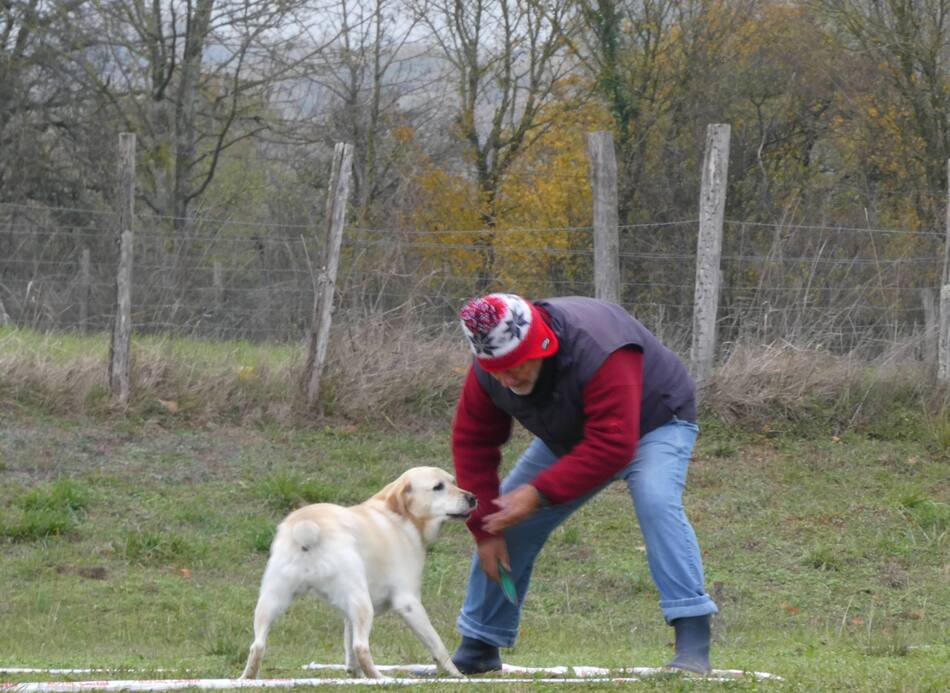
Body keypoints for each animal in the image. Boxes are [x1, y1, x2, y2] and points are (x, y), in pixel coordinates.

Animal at [238, 468, 476, 680]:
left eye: (453, 481)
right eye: (438, 487)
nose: (473, 497)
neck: (398, 517)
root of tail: (307, 527)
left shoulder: (348, 612)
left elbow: (349, 649)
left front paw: (354, 674)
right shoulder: (408, 603)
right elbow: (437, 645)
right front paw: (456, 674)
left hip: (271, 600)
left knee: (257, 646)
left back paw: (247, 679)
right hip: (362, 603)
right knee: (361, 646)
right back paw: (381, 678)